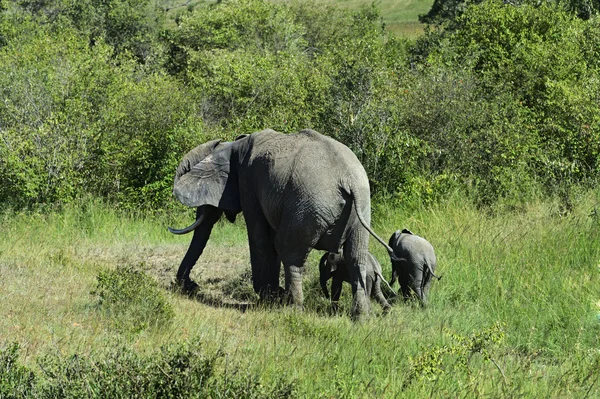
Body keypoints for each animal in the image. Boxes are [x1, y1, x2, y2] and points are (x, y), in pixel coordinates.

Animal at [169, 130, 394, 320]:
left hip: (308, 205)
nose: (191, 286)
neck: (235, 144)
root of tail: (350, 180)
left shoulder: (249, 184)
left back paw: (292, 309)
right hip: (360, 208)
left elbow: (260, 238)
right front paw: (272, 295)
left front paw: (267, 297)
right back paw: (361, 318)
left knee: (289, 252)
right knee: (356, 258)